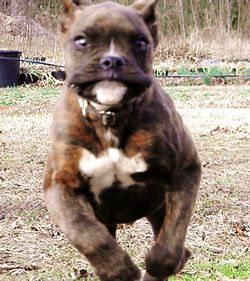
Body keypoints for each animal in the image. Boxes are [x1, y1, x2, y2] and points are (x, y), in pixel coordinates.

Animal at [43, 1, 202, 278]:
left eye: (140, 42)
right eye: (81, 40)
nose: (113, 60)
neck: (110, 116)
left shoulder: (185, 172)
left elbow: (169, 244)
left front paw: (155, 266)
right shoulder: (59, 186)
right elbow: (87, 235)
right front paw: (119, 271)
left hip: (160, 207)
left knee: (176, 247)